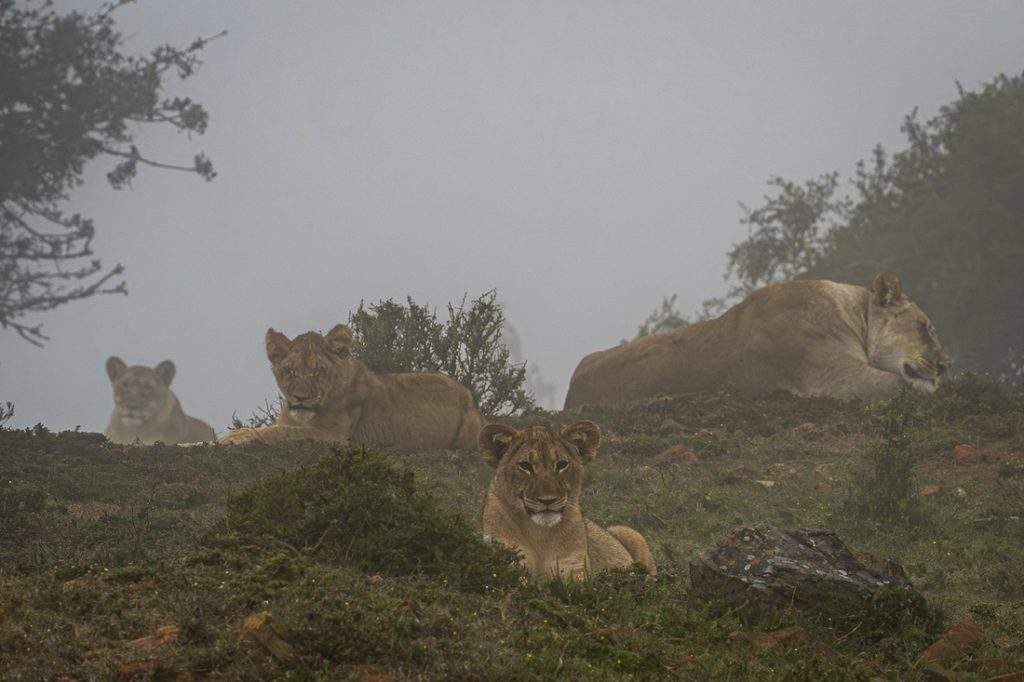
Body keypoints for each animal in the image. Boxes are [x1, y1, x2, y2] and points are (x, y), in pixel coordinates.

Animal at [218, 323, 483, 451]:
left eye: (318, 371)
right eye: (290, 371)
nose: (301, 398)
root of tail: (467, 395)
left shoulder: (334, 437)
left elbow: (281, 432)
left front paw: (235, 437)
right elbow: (274, 427)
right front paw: (235, 434)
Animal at [478, 420, 656, 580]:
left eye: (562, 464)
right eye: (525, 465)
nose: (547, 500)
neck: (540, 535)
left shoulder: (573, 567)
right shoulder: (508, 560)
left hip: (630, 533)